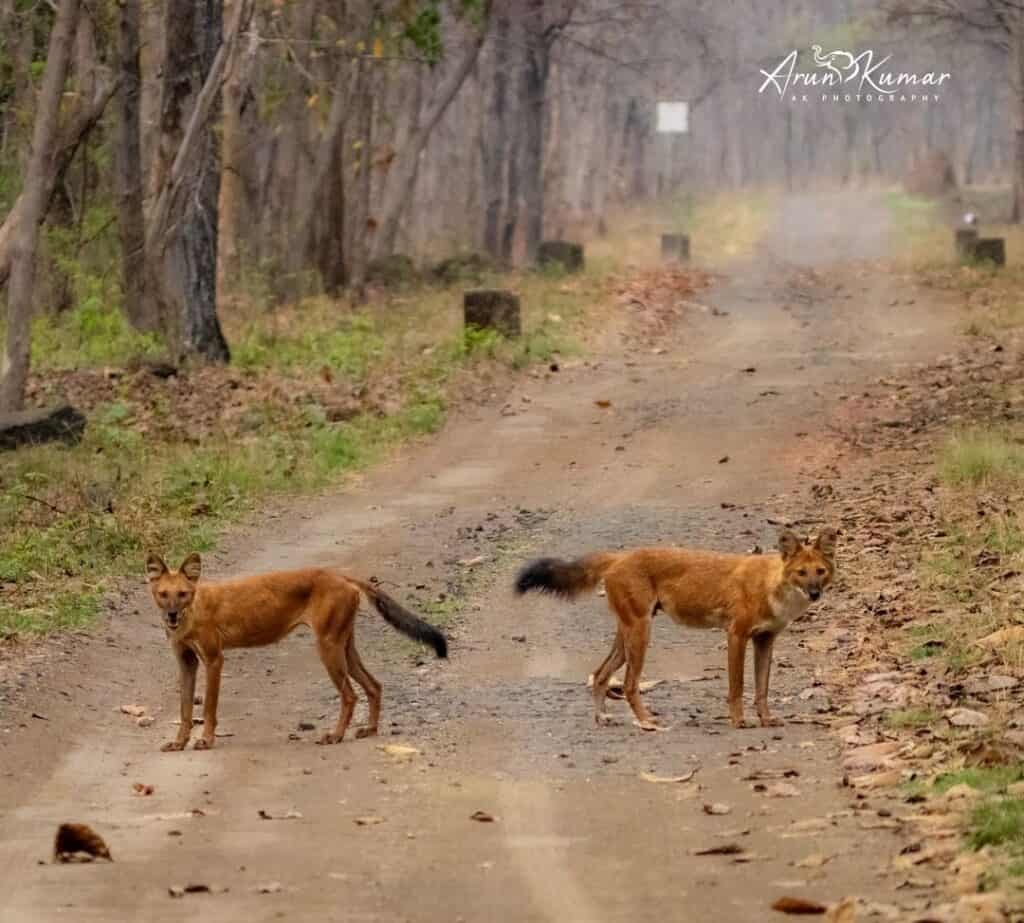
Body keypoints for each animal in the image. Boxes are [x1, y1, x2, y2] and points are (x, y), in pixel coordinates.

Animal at [146, 553, 446, 749]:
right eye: (163, 594)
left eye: (183, 594)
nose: (172, 614)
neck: (189, 616)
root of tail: (342, 575)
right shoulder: (186, 662)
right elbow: (185, 708)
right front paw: (178, 742)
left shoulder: (213, 659)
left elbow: (208, 707)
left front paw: (206, 740)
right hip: (344, 646)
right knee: (374, 685)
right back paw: (370, 730)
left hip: (327, 646)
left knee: (350, 695)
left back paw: (334, 736)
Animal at [516, 528, 835, 729]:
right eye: (801, 573)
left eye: (820, 571)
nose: (815, 593)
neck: (773, 588)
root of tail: (619, 556)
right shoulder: (736, 634)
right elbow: (738, 686)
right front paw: (738, 721)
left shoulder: (766, 639)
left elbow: (762, 688)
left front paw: (767, 719)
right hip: (641, 632)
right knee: (629, 684)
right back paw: (647, 722)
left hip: (626, 635)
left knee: (600, 674)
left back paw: (603, 719)